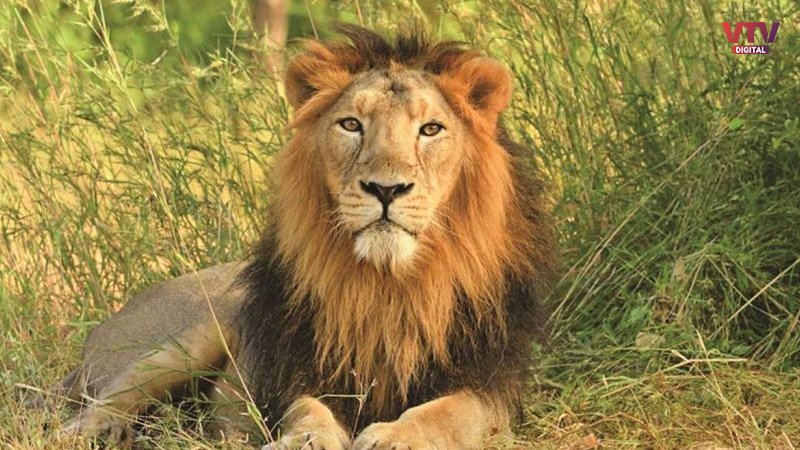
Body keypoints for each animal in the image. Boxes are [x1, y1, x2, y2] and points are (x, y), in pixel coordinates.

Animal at [49, 26, 556, 449]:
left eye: (430, 129)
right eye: (351, 124)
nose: (386, 189)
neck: (388, 284)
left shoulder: (489, 384)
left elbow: (446, 412)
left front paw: (396, 437)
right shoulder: (297, 368)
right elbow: (307, 409)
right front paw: (306, 440)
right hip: (189, 337)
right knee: (103, 404)